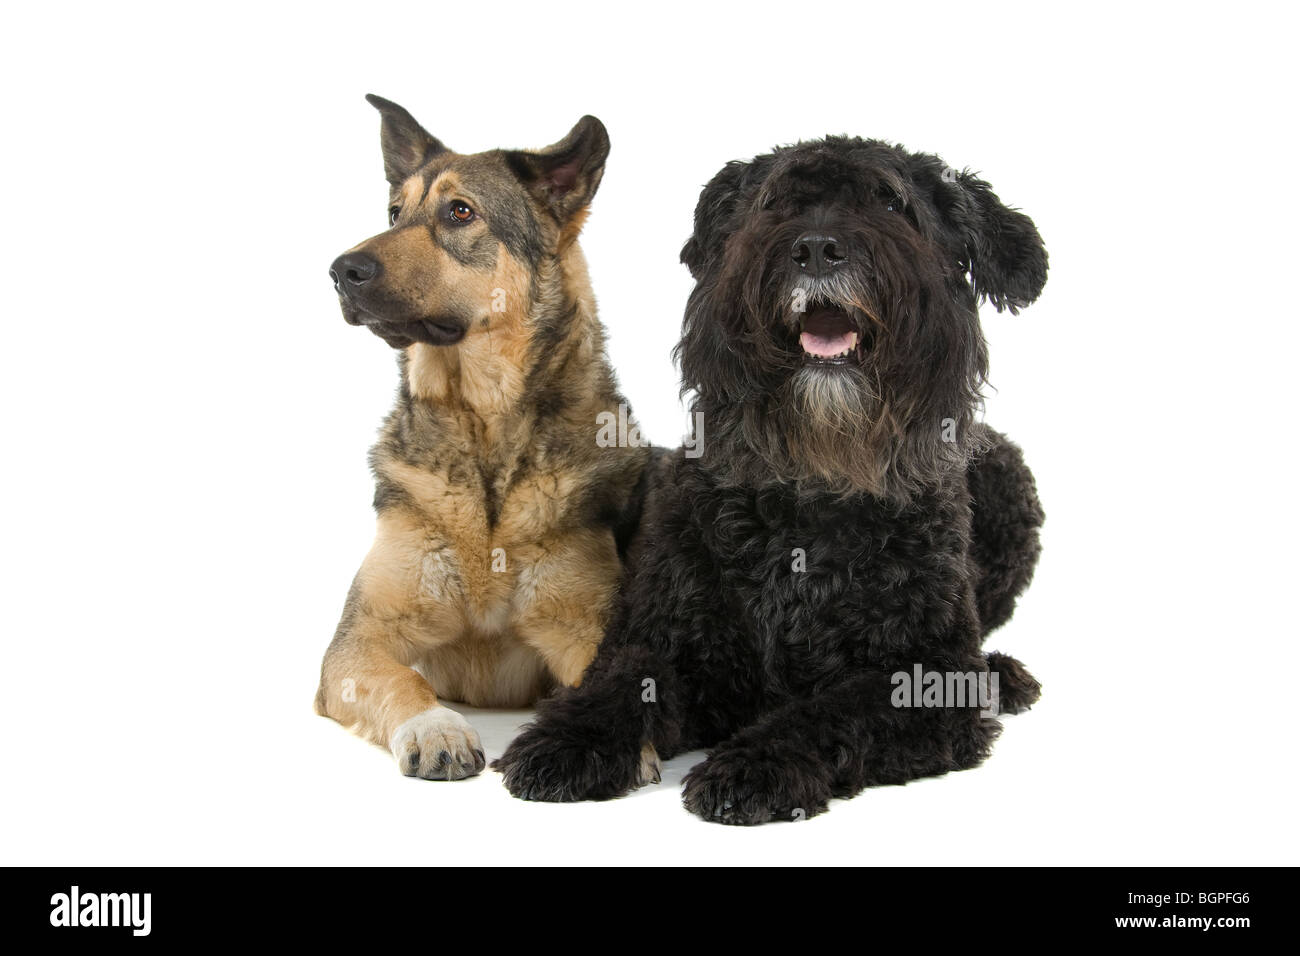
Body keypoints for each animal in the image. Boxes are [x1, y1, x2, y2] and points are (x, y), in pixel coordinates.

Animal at [314, 97, 650, 780]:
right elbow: (405, 681)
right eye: (394, 213)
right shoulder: (358, 642)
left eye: (459, 212)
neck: (484, 432)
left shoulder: (582, 627)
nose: (339, 270)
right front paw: (434, 728)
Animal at [491, 134, 1050, 822]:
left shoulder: (927, 678)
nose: (815, 249)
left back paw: (1004, 676)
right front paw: (569, 738)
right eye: (773, 203)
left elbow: (835, 710)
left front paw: (758, 763)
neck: (814, 482)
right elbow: (623, 680)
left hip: (1007, 479)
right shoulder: (667, 637)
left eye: (892, 202)